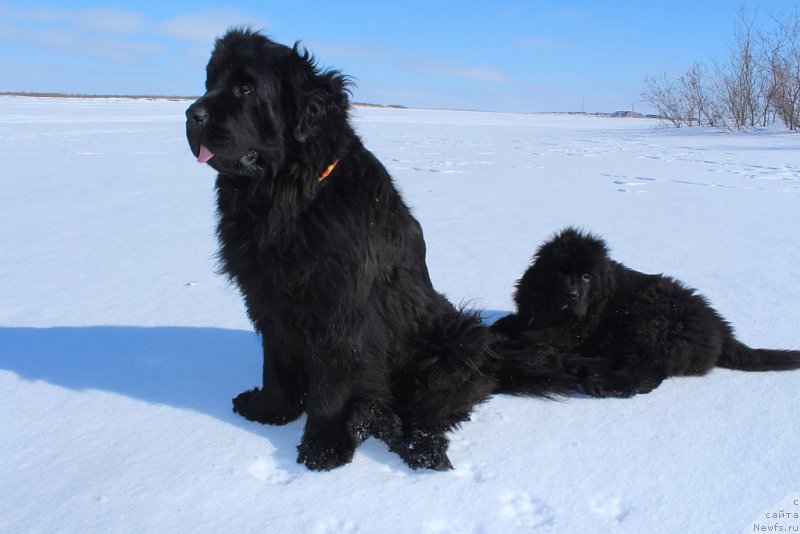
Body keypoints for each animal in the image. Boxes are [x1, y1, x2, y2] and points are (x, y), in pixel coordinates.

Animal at [186, 29, 568, 474]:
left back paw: (410, 441)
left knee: (432, 408)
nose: (191, 114)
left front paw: (323, 446)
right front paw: (270, 409)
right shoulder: (266, 296)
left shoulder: (339, 307)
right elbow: (274, 361)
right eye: (209, 81)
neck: (289, 199)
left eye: (245, 88)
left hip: (456, 339)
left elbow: (332, 382)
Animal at [494, 228, 800, 400]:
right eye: (560, 273)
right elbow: (514, 322)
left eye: (586, 277)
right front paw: (499, 329)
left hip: (652, 322)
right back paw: (580, 366)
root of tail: (721, 329)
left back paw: (602, 383)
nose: (571, 295)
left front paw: (511, 341)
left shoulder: (573, 330)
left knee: (647, 372)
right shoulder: (532, 310)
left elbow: (534, 335)